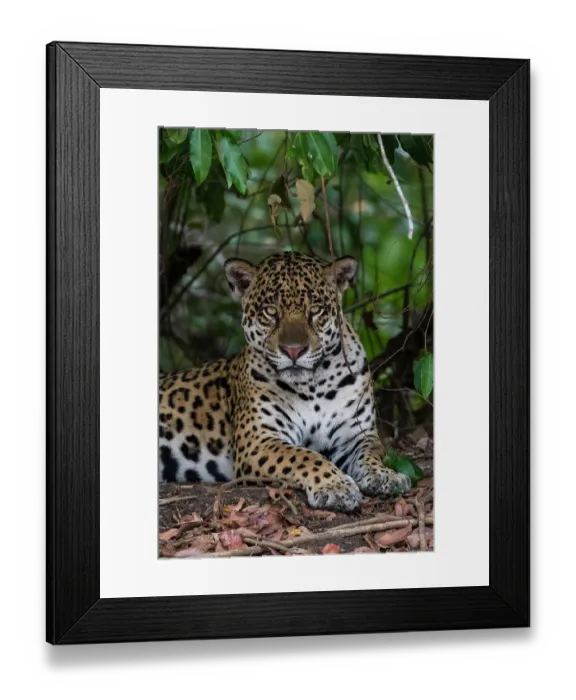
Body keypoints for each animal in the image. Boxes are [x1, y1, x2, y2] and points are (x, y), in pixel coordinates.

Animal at [159, 251, 410, 512]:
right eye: (270, 311)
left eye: (315, 310)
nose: (294, 351)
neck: (314, 385)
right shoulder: (259, 440)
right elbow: (304, 456)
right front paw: (336, 486)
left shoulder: (357, 434)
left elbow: (373, 453)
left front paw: (385, 475)